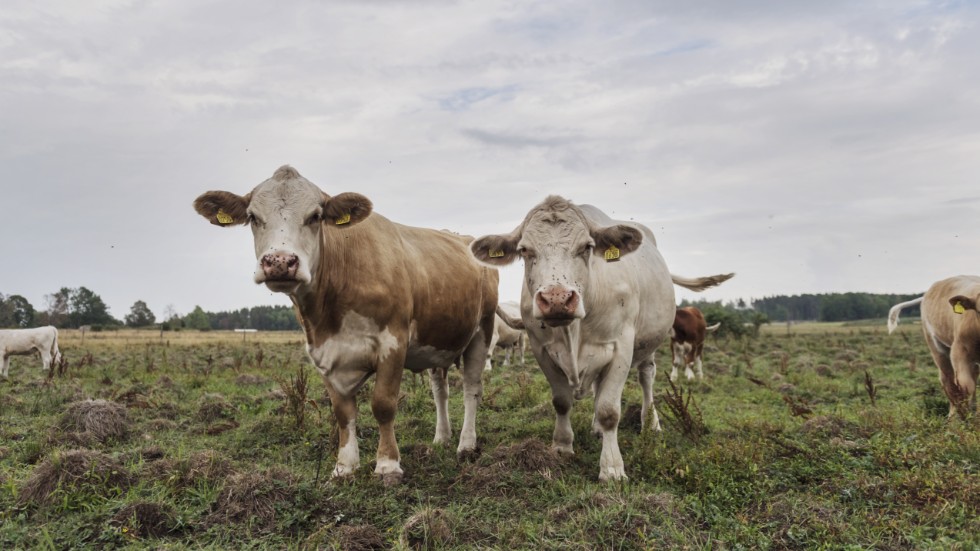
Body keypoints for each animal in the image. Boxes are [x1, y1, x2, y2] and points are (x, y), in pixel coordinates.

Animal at [193, 166, 498, 486]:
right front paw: (344, 467)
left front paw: (388, 465)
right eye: (253, 217)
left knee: (471, 388)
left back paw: (466, 445)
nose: (280, 262)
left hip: (482, 330)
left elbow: (383, 405)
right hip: (439, 341)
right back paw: (441, 438)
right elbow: (342, 412)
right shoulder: (323, 352)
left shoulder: (393, 342)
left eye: (315, 216)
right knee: (440, 390)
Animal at [470, 196, 732, 480]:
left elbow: (609, 411)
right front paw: (562, 446)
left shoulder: (621, 348)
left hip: (650, 344)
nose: (557, 299)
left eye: (587, 247)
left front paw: (612, 468)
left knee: (646, 377)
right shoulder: (542, 350)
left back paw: (651, 423)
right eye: (525, 250)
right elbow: (561, 402)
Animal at [888, 276, 980, 418]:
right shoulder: (959, 351)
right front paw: (967, 415)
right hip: (936, 347)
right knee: (948, 379)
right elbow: (966, 385)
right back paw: (954, 415)